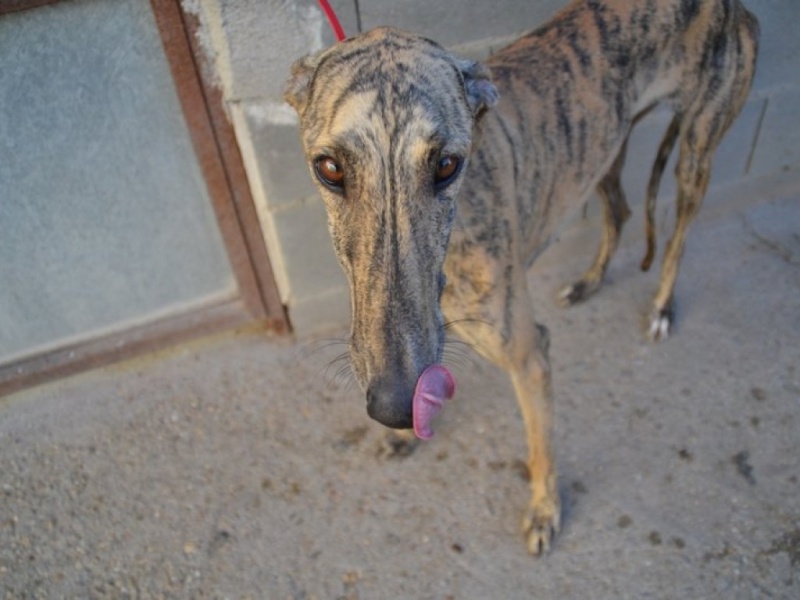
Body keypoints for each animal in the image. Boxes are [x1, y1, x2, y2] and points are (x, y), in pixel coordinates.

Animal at [284, 0, 760, 552]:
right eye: (330, 168)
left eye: (447, 164)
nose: (391, 406)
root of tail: (734, 7)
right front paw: (403, 436)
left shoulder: (529, 354)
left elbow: (541, 443)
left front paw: (545, 510)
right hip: (605, 145)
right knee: (619, 210)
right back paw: (588, 282)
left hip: (696, 152)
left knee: (678, 233)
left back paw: (661, 307)